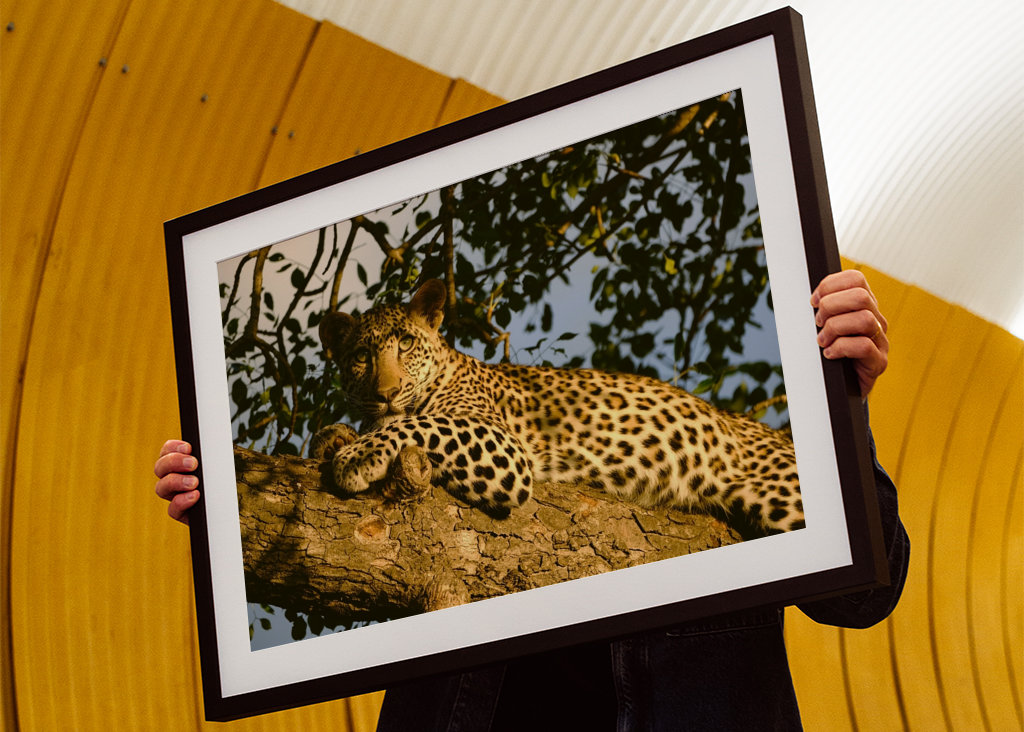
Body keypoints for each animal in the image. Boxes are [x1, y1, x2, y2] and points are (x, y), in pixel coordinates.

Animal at [314, 279, 803, 536]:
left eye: (406, 344)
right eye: (361, 356)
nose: (386, 392)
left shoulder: (503, 446)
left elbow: (421, 423)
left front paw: (357, 455)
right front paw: (335, 436)